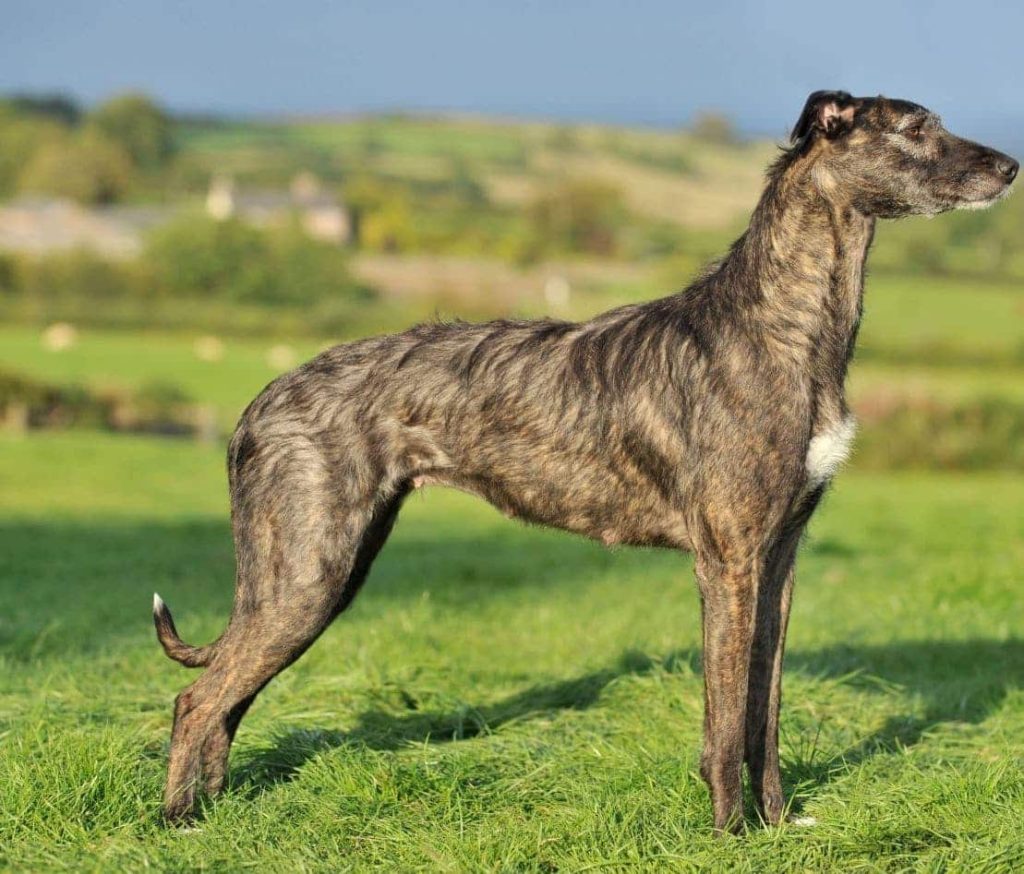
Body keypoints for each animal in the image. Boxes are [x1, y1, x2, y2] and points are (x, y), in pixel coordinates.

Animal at [151, 92, 1015, 831]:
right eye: (915, 127)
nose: (1011, 167)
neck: (782, 324)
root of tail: (259, 402)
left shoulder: (779, 558)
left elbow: (763, 714)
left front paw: (776, 825)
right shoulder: (728, 560)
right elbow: (726, 718)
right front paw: (729, 835)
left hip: (319, 569)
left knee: (227, 700)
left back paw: (215, 813)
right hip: (308, 573)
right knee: (198, 700)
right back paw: (178, 823)